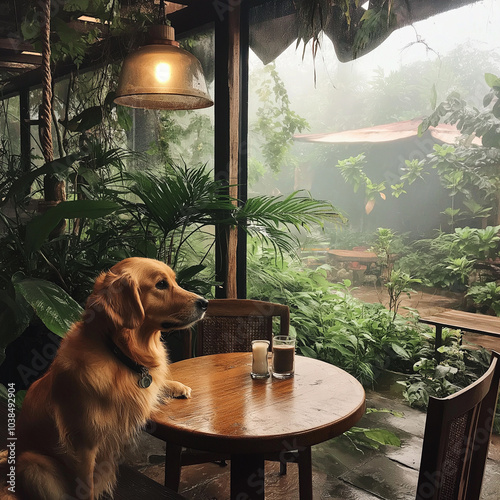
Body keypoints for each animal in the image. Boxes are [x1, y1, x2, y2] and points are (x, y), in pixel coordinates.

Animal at [0, 258, 207, 500]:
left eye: (174, 281)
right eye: (161, 284)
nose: (205, 303)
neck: (119, 352)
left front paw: (177, 386)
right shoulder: (84, 447)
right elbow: (86, 488)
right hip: (33, 465)